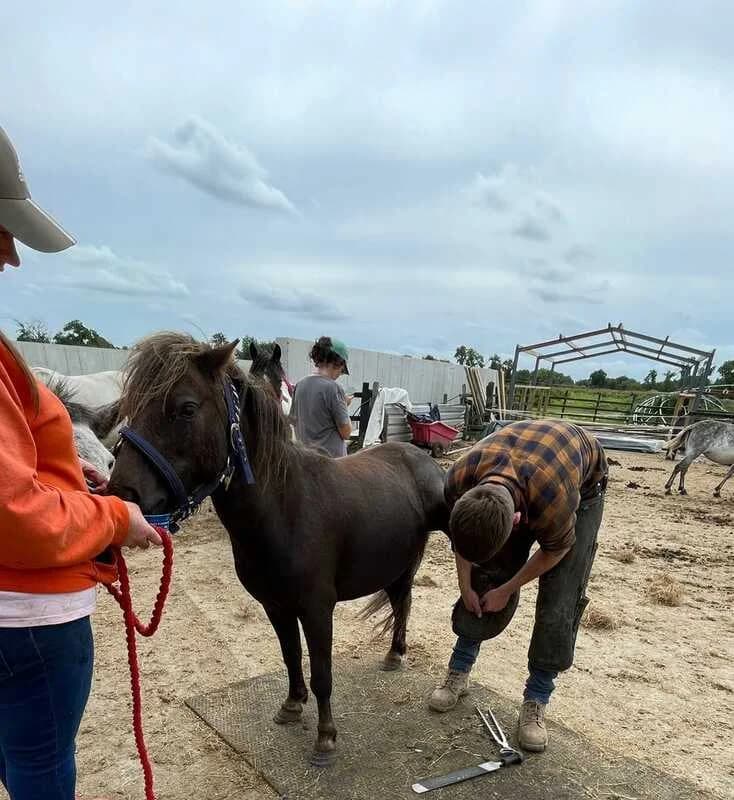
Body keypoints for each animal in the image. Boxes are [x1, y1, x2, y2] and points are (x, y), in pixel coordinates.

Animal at [107, 333, 449, 766]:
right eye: (130, 406)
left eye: (186, 408)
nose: (122, 495)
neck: (285, 507)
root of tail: (420, 458)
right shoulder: (275, 604)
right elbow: (290, 656)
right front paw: (291, 705)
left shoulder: (317, 609)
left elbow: (322, 673)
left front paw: (325, 738)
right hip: (395, 564)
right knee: (401, 601)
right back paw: (393, 654)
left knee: (405, 603)